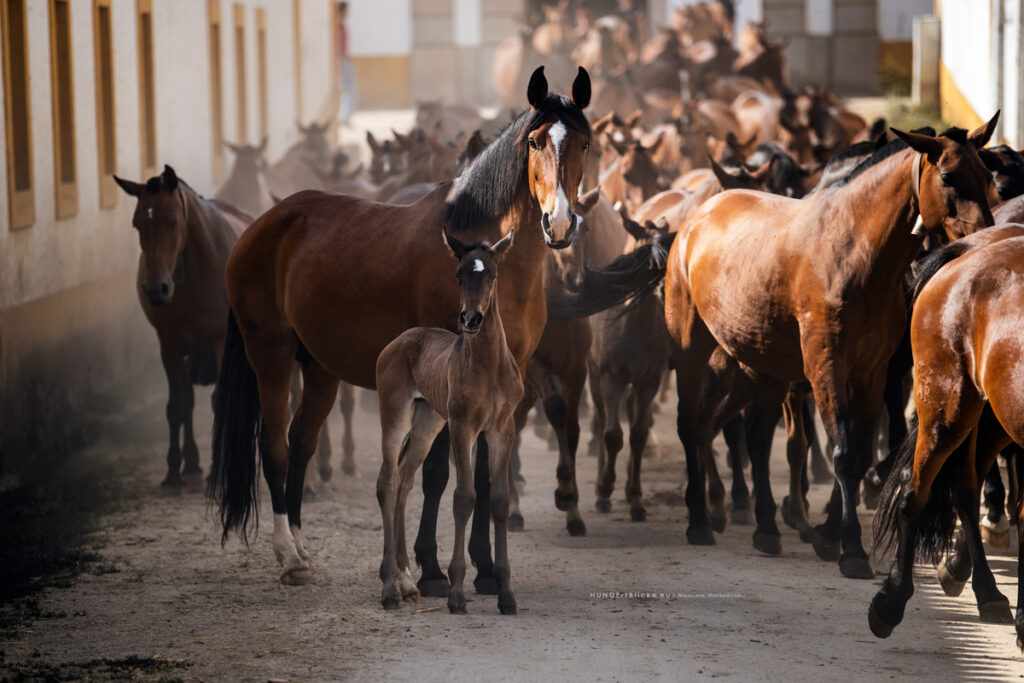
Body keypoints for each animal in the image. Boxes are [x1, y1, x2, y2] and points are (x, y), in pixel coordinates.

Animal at [114, 164, 249, 485]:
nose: (155, 288)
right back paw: (191, 462)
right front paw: (174, 469)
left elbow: (219, 401)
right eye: (137, 224)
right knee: (187, 396)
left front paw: (217, 469)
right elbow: (178, 403)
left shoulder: (221, 341)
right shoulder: (169, 344)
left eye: (172, 221)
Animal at [374, 231, 520, 614]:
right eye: (458, 274)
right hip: (396, 415)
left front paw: (505, 593)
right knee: (387, 482)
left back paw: (408, 583)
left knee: (405, 481)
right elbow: (464, 497)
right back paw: (389, 588)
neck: (488, 365)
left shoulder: (502, 429)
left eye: (492, 275)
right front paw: (455, 592)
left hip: (427, 422)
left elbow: (499, 500)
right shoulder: (462, 425)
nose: (471, 319)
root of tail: (397, 341)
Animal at [868, 232, 1024, 651]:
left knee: (965, 488)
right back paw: (891, 602)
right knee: (915, 492)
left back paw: (987, 592)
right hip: (949, 405)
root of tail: (968, 251)